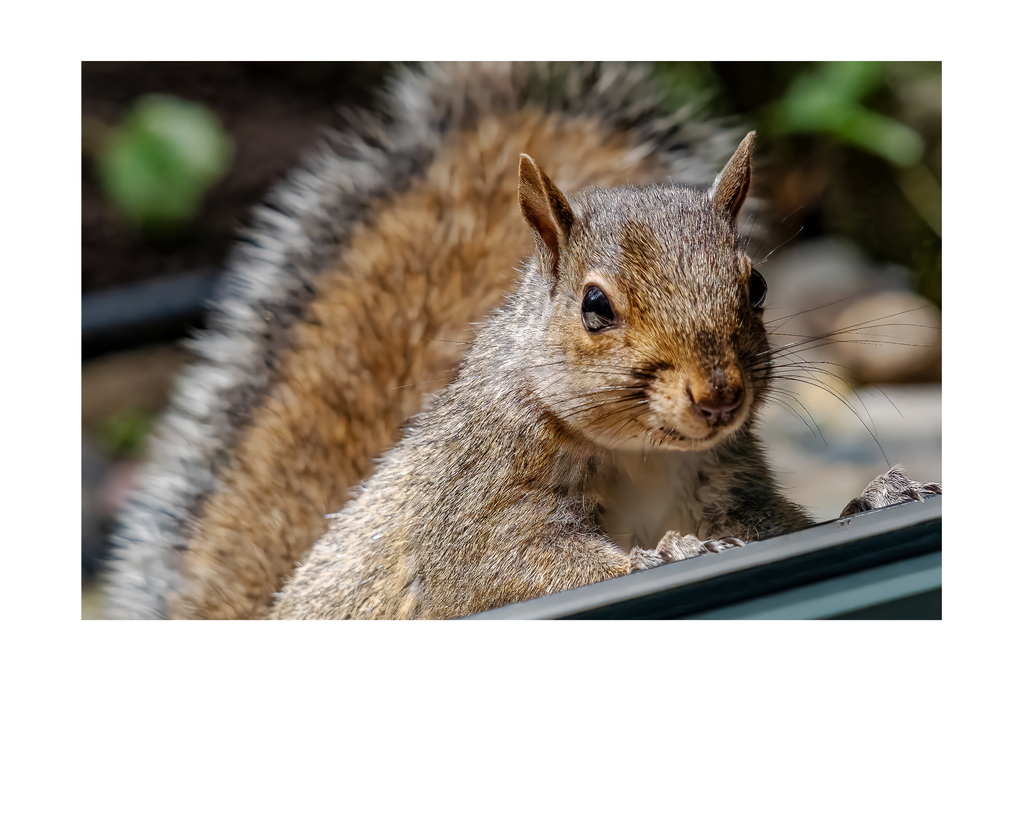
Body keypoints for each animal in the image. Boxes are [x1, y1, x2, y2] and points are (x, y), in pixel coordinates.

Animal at [103, 62, 940, 620]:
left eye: (758, 287)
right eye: (594, 306)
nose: (719, 396)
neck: (643, 454)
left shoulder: (730, 486)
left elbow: (784, 528)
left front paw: (875, 497)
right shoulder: (477, 498)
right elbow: (504, 568)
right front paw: (666, 555)